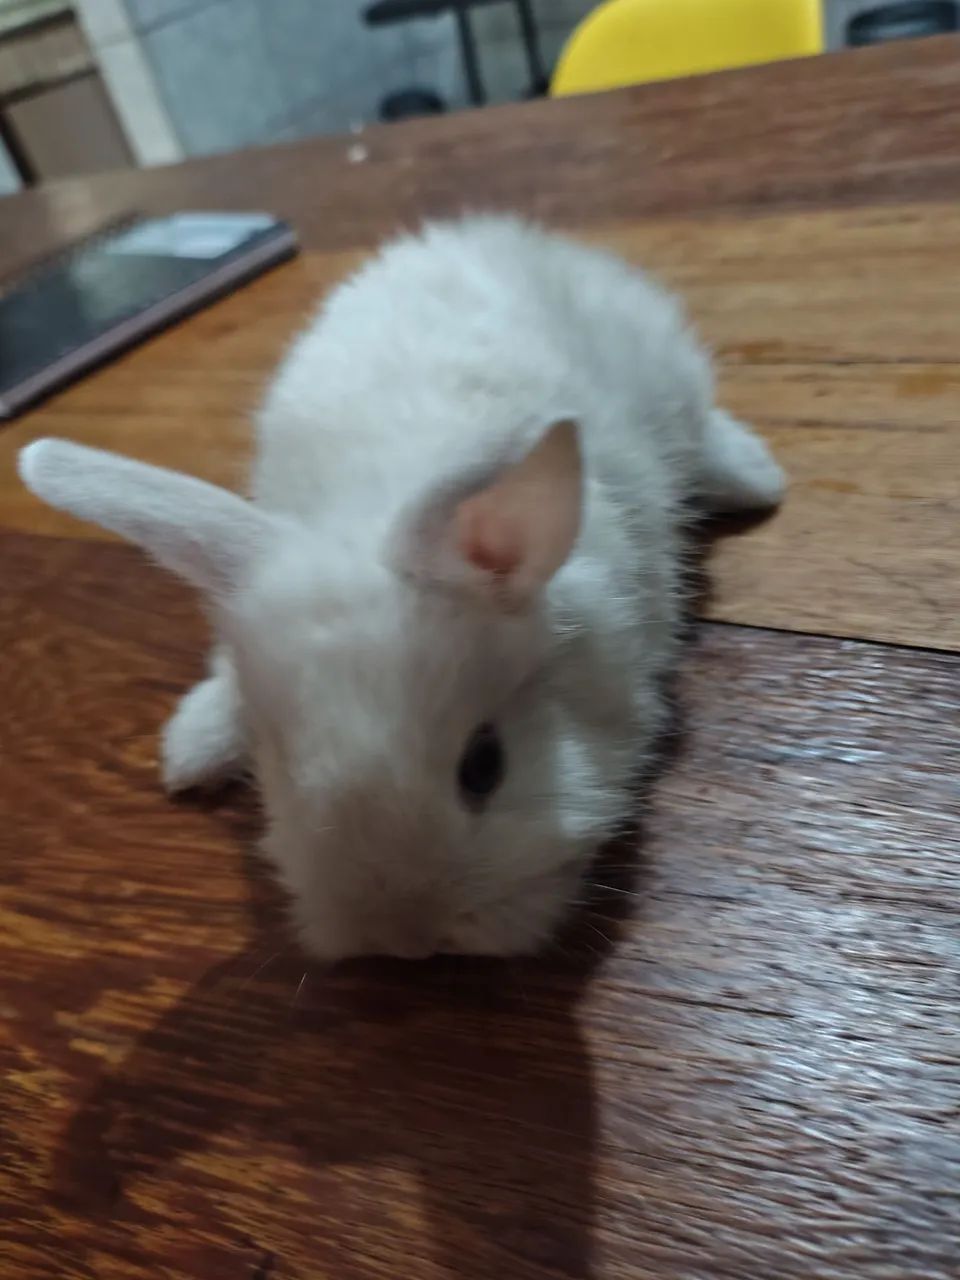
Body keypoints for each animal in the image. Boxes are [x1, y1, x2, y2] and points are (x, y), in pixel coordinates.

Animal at [19, 215, 784, 961]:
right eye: (284, 772)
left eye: (485, 766)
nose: (406, 941)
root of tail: (478, 232)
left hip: (671, 381)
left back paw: (758, 477)